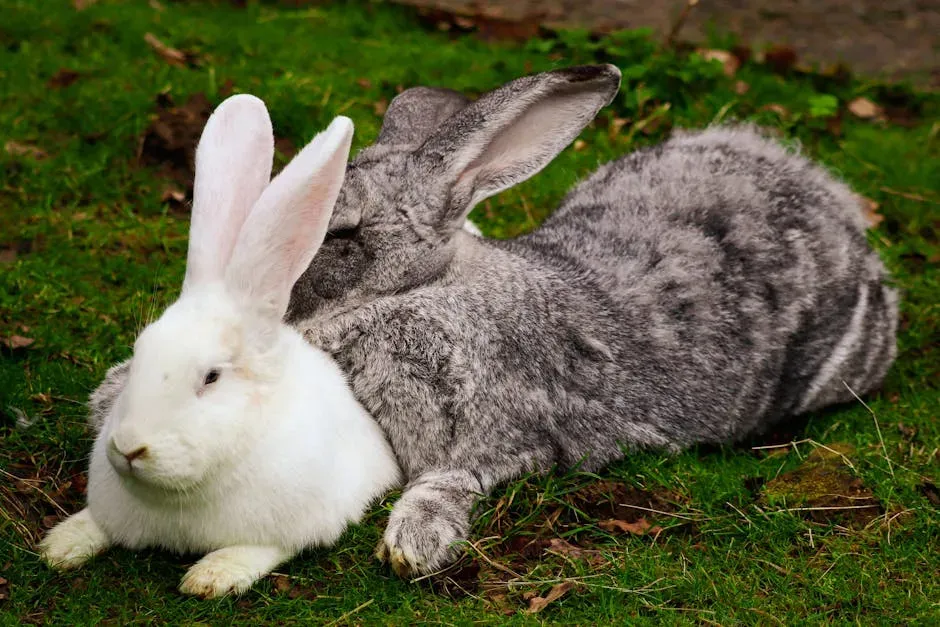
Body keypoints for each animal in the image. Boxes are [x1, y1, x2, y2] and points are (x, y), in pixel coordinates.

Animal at [40, 94, 401, 598]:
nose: (130, 448)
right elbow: (99, 524)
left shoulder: (300, 517)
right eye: (139, 353)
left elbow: (263, 548)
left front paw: (213, 575)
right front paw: (61, 544)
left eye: (211, 377)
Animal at [88, 65, 898, 579]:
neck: (417, 289)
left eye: (343, 233)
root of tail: (832, 202)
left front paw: (414, 543)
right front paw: (111, 392)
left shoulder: (508, 433)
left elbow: (457, 476)